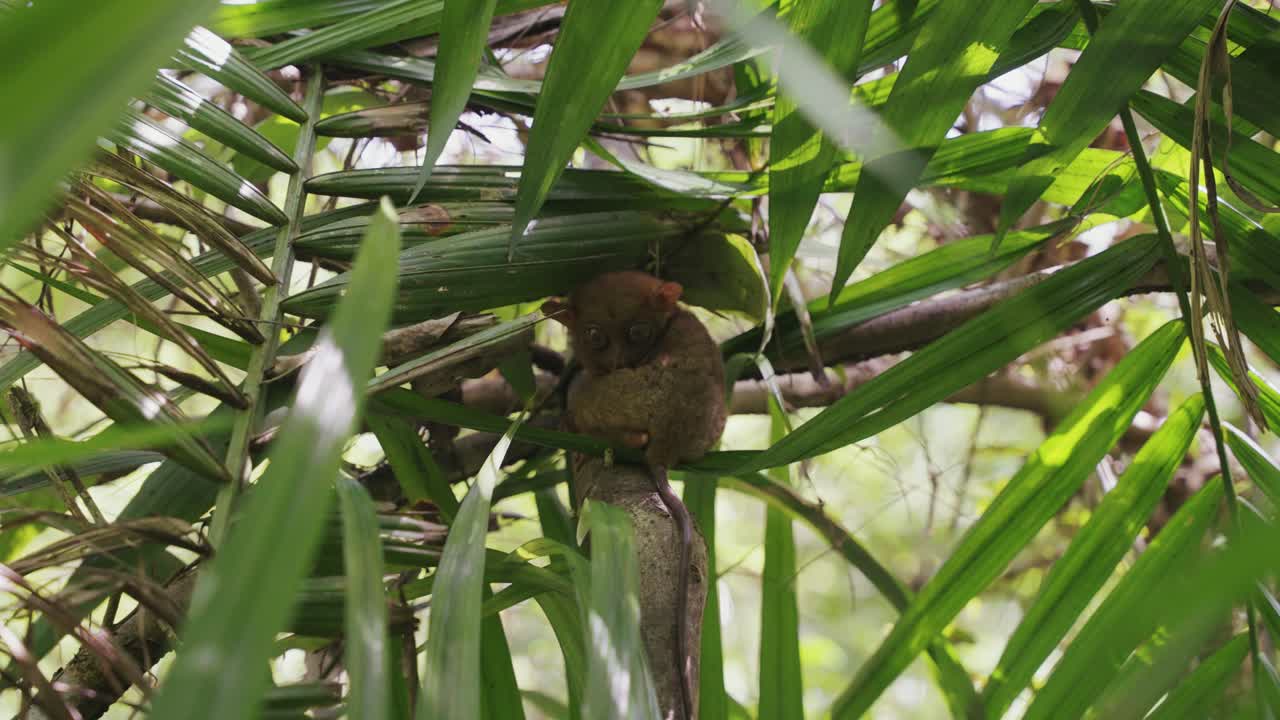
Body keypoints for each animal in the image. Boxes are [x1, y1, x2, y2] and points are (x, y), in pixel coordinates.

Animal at [542, 270, 725, 720]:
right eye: (595, 336)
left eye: (638, 332)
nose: (619, 363)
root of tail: (667, 448)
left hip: (626, 397)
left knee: (585, 395)